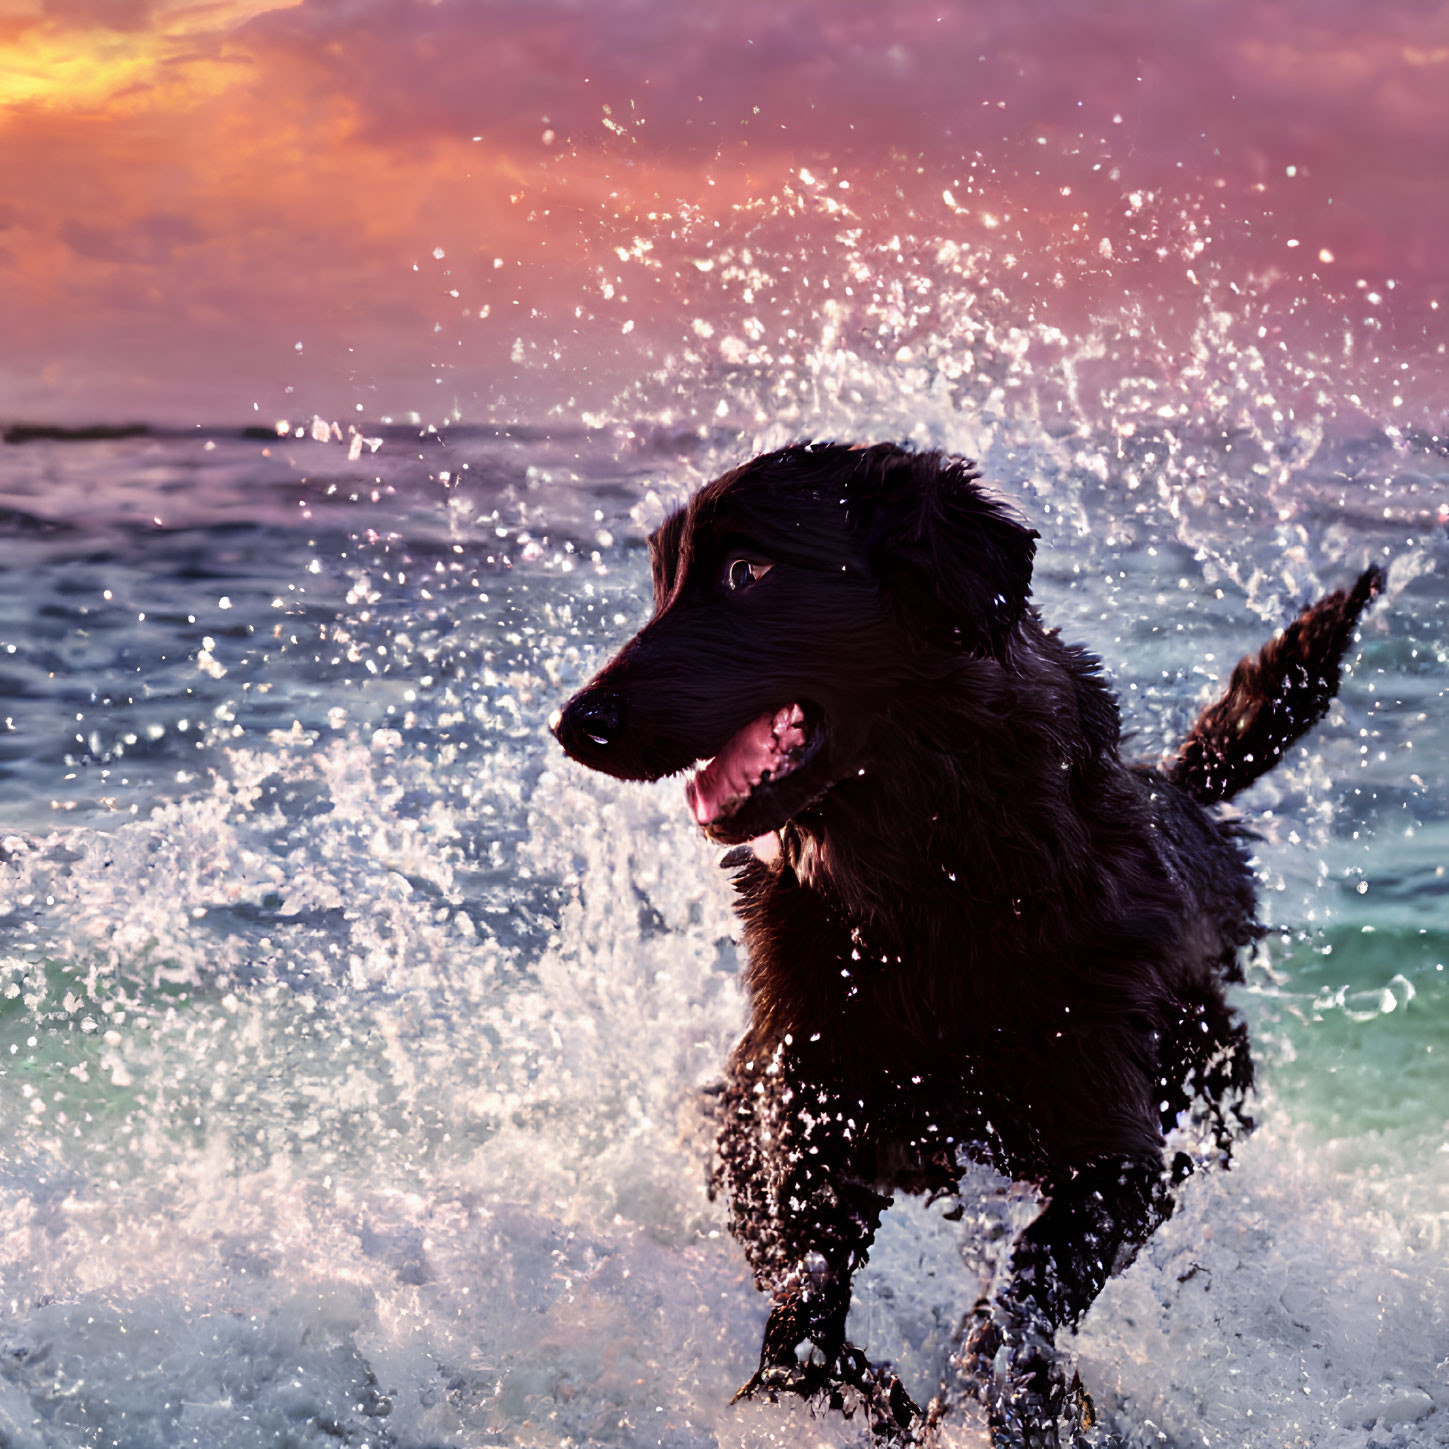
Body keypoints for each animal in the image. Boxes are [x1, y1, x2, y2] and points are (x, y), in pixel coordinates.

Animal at [550, 443, 1379, 1449]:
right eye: (662, 578)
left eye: (748, 570)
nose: (575, 721)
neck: (928, 896)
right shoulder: (805, 1108)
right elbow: (805, 1292)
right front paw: (840, 1391)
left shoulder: (1117, 1148)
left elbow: (1030, 1283)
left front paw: (1006, 1386)